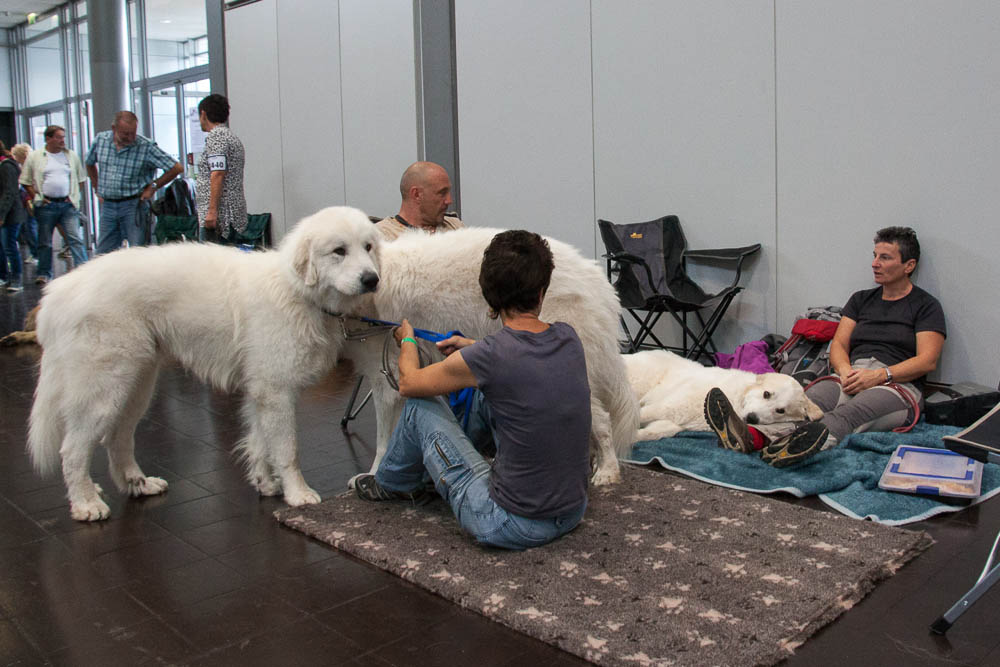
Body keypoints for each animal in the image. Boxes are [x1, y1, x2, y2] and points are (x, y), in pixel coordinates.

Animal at [30, 206, 382, 520]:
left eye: (368, 247)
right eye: (339, 251)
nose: (372, 279)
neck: (296, 290)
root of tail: (58, 292)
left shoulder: (261, 392)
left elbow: (259, 441)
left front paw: (265, 483)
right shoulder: (277, 391)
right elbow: (286, 450)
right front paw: (297, 493)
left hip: (136, 388)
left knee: (116, 438)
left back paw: (137, 484)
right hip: (103, 391)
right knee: (73, 450)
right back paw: (86, 503)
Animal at [620, 350, 824, 444]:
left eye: (780, 410)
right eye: (766, 394)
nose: (752, 418)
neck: (734, 399)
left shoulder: (673, 420)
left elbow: (648, 432)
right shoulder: (668, 407)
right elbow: (637, 415)